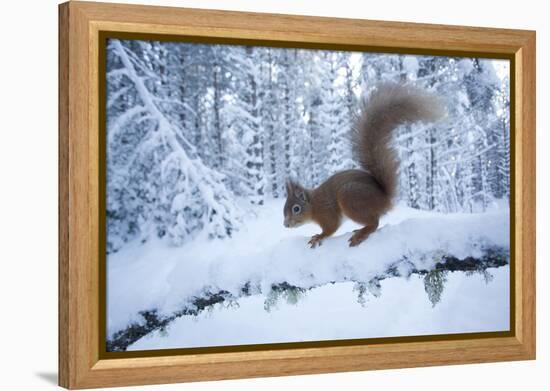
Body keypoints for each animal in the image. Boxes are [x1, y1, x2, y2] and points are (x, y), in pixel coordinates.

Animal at [282, 82, 446, 248]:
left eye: (296, 209)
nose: (285, 225)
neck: (314, 205)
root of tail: (385, 200)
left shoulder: (327, 213)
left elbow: (331, 228)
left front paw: (319, 236)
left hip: (350, 198)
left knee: (374, 223)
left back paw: (360, 234)